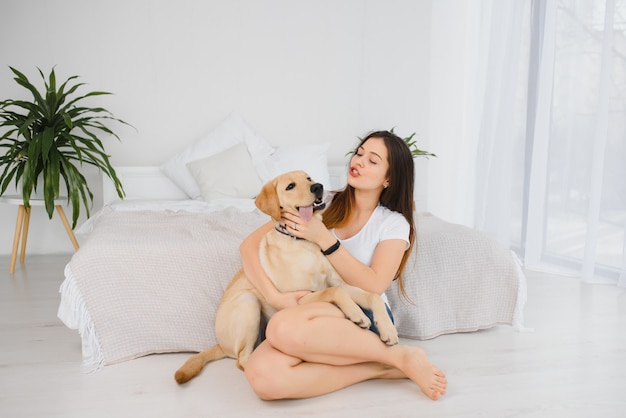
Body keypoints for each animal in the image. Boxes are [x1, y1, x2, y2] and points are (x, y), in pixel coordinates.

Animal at [172, 168, 394, 384]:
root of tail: (219, 343)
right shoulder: (299, 297)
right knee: (242, 360)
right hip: (248, 301)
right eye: (290, 186)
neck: (305, 242)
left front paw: (388, 329)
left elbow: (371, 295)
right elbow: (333, 292)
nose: (318, 186)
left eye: (308, 178)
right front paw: (357, 314)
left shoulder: (342, 283)